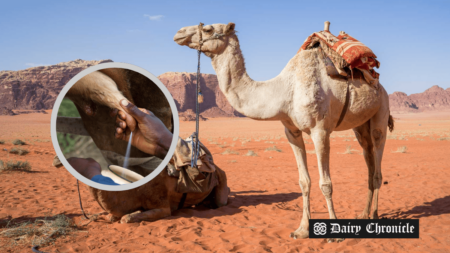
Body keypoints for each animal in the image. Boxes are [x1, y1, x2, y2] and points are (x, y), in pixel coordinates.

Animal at [174, 22, 392, 241]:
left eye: (208, 29)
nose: (179, 33)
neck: (285, 91)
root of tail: (379, 84)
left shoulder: (320, 130)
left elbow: (326, 183)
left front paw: (335, 235)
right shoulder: (291, 132)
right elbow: (304, 181)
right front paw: (302, 230)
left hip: (381, 112)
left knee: (377, 165)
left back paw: (374, 217)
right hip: (360, 126)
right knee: (368, 158)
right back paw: (363, 214)